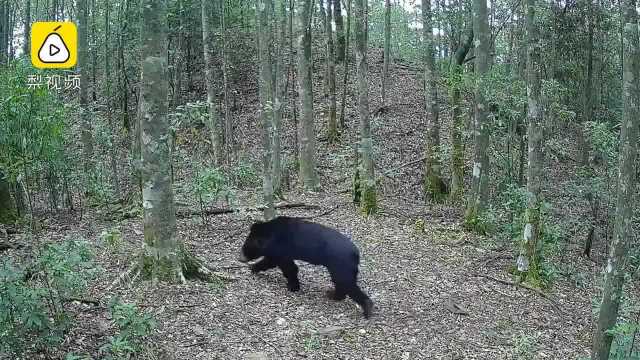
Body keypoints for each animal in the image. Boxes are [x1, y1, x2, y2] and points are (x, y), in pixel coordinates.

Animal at [238, 217, 372, 318]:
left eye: (245, 248)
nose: (240, 258)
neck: (270, 235)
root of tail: (356, 254)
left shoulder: (281, 248)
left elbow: (283, 265)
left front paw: (292, 286)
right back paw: (335, 295)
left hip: (340, 264)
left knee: (346, 283)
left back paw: (366, 307)